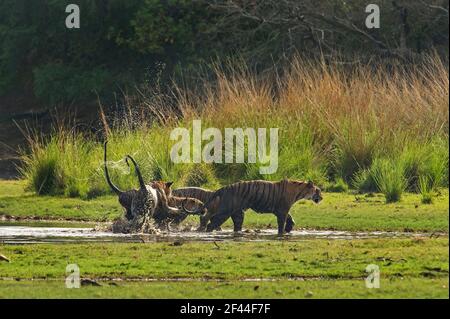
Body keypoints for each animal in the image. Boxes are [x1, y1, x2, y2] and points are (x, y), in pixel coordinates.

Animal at [184, 181, 324, 236]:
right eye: (318, 190)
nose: (322, 197)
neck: (300, 191)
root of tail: (224, 187)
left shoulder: (281, 210)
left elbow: (290, 219)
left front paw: (289, 228)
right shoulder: (282, 211)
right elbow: (282, 223)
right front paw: (282, 233)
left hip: (238, 213)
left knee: (235, 225)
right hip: (225, 212)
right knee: (211, 223)